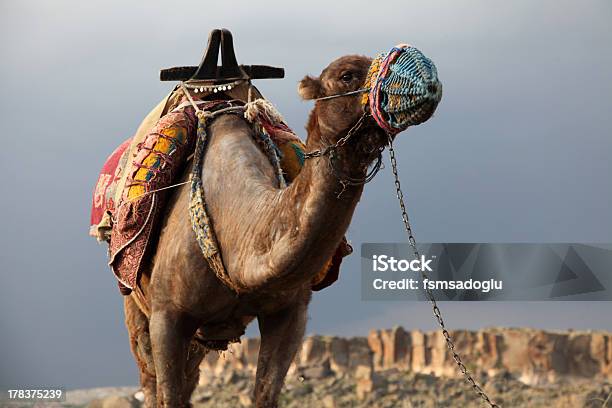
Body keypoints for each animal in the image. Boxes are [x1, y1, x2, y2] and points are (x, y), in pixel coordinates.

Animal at [123, 55, 420, 408]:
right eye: (346, 76)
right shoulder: (168, 315)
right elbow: (168, 394)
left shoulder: (289, 313)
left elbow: (265, 393)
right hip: (137, 304)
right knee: (151, 377)